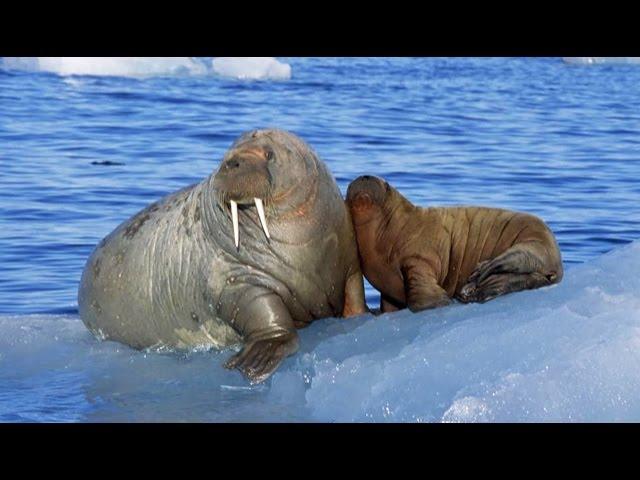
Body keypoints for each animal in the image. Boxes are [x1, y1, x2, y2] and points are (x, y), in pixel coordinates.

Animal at [348, 174, 564, 314]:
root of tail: (558, 265)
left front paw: (437, 303)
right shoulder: (387, 291)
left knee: (512, 261)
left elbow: (422, 288)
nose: (365, 176)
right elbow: (389, 304)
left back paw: (478, 276)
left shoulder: (419, 258)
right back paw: (474, 290)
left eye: (386, 185)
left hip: (534, 242)